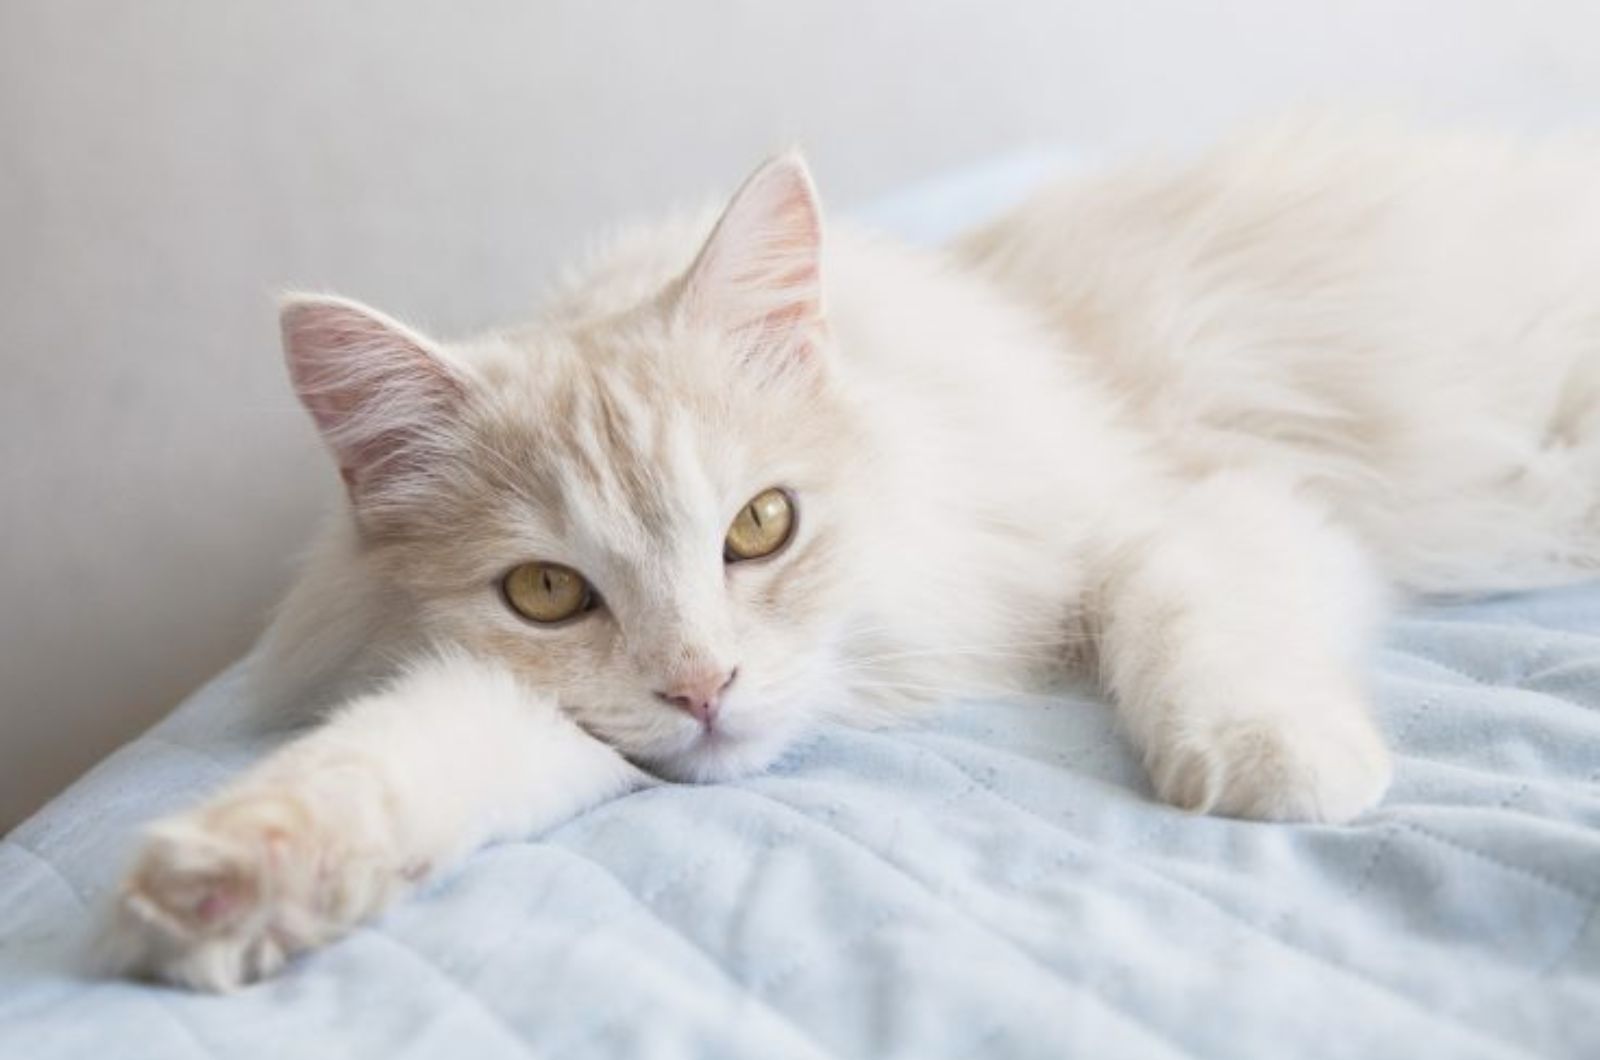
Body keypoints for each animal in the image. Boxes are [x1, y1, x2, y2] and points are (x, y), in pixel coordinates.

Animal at [96, 124, 1600, 999]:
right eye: (546, 593)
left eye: (761, 527)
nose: (703, 688)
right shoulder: (541, 718)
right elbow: (408, 752)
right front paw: (228, 885)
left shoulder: (1199, 497)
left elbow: (1173, 607)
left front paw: (1273, 767)